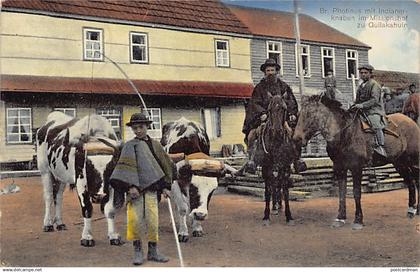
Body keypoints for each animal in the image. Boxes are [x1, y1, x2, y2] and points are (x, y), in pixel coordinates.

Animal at [258, 94, 296, 225]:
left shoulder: (285, 168)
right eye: (270, 109)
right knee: (273, 186)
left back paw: (278, 206)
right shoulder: (266, 169)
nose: (278, 131)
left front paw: (289, 216)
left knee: (278, 186)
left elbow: (285, 190)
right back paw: (274, 207)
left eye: (284, 109)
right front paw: (266, 216)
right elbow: (268, 190)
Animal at [292, 95, 420, 230]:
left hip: (414, 162)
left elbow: (356, 193)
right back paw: (411, 210)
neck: (344, 133)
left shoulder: (356, 168)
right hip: (399, 163)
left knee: (417, 182)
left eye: (310, 114)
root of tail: (412, 122)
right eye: (299, 114)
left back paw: (417, 210)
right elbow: (341, 193)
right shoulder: (339, 168)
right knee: (410, 183)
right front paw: (340, 218)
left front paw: (358, 220)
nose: (296, 139)